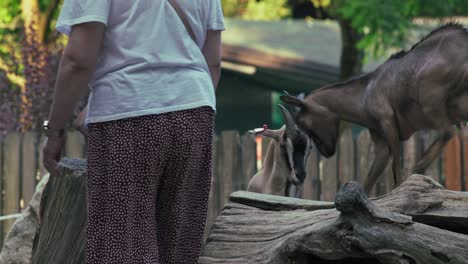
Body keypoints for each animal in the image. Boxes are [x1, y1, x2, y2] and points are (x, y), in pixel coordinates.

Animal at [280, 23, 468, 194]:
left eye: (304, 123)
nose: (327, 152)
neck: (364, 95)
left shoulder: (388, 122)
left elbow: (396, 167)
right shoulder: (381, 141)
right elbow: (370, 179)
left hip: (431, 102)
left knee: (448, 131)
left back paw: (419, 167)